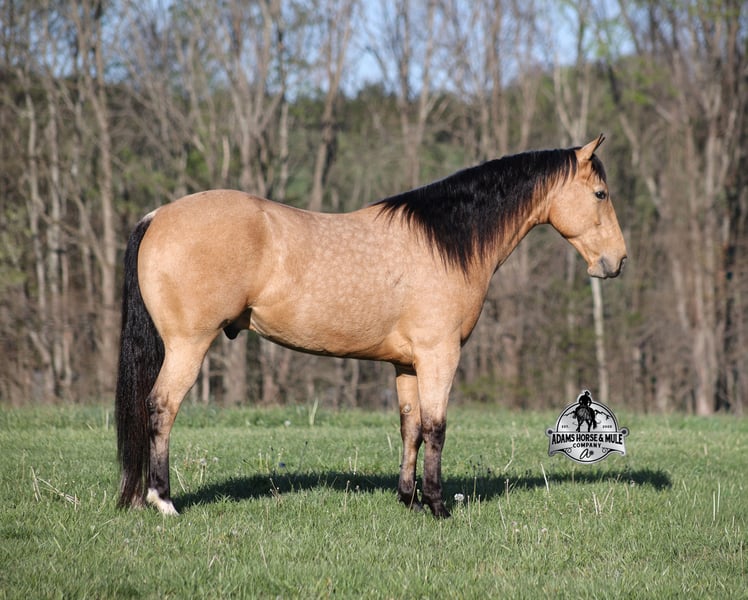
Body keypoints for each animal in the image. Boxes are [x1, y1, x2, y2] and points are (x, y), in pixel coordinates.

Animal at [115, 135, 626, 518]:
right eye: (600, 194)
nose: (616, 261)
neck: (445, 244)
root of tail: (157, 216)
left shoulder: (406, 364)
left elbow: (410, 427)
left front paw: (408, 499)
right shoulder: (440, 354)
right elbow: (436, 426)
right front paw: (437, 505)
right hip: (188, 345)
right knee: (161, 407)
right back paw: (163, 501)